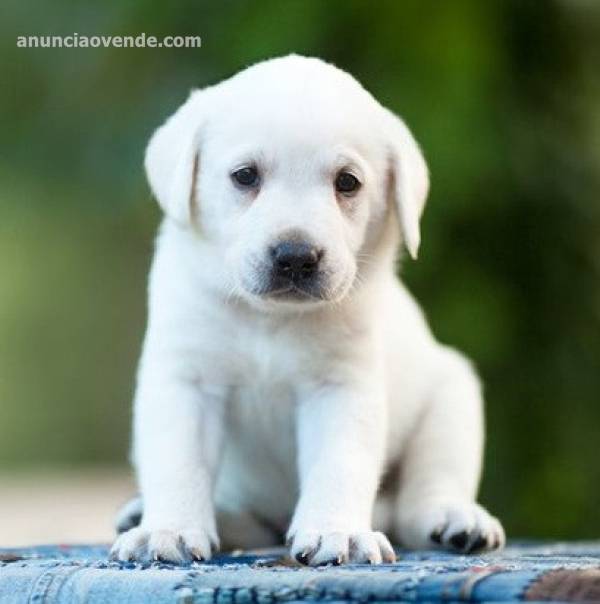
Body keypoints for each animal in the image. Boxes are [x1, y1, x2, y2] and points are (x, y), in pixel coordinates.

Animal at [110, 54, 504, 564]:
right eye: (245, 176)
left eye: (347, 183)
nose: (296, 256)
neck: (269, 319)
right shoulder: (186, 380)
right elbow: (179, 462)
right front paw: (168, 529)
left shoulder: (340, 387)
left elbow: (339, 464)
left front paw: (338, 532)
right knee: (251, 521)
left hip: (452, 399)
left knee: (423, 496)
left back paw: (456, 519)